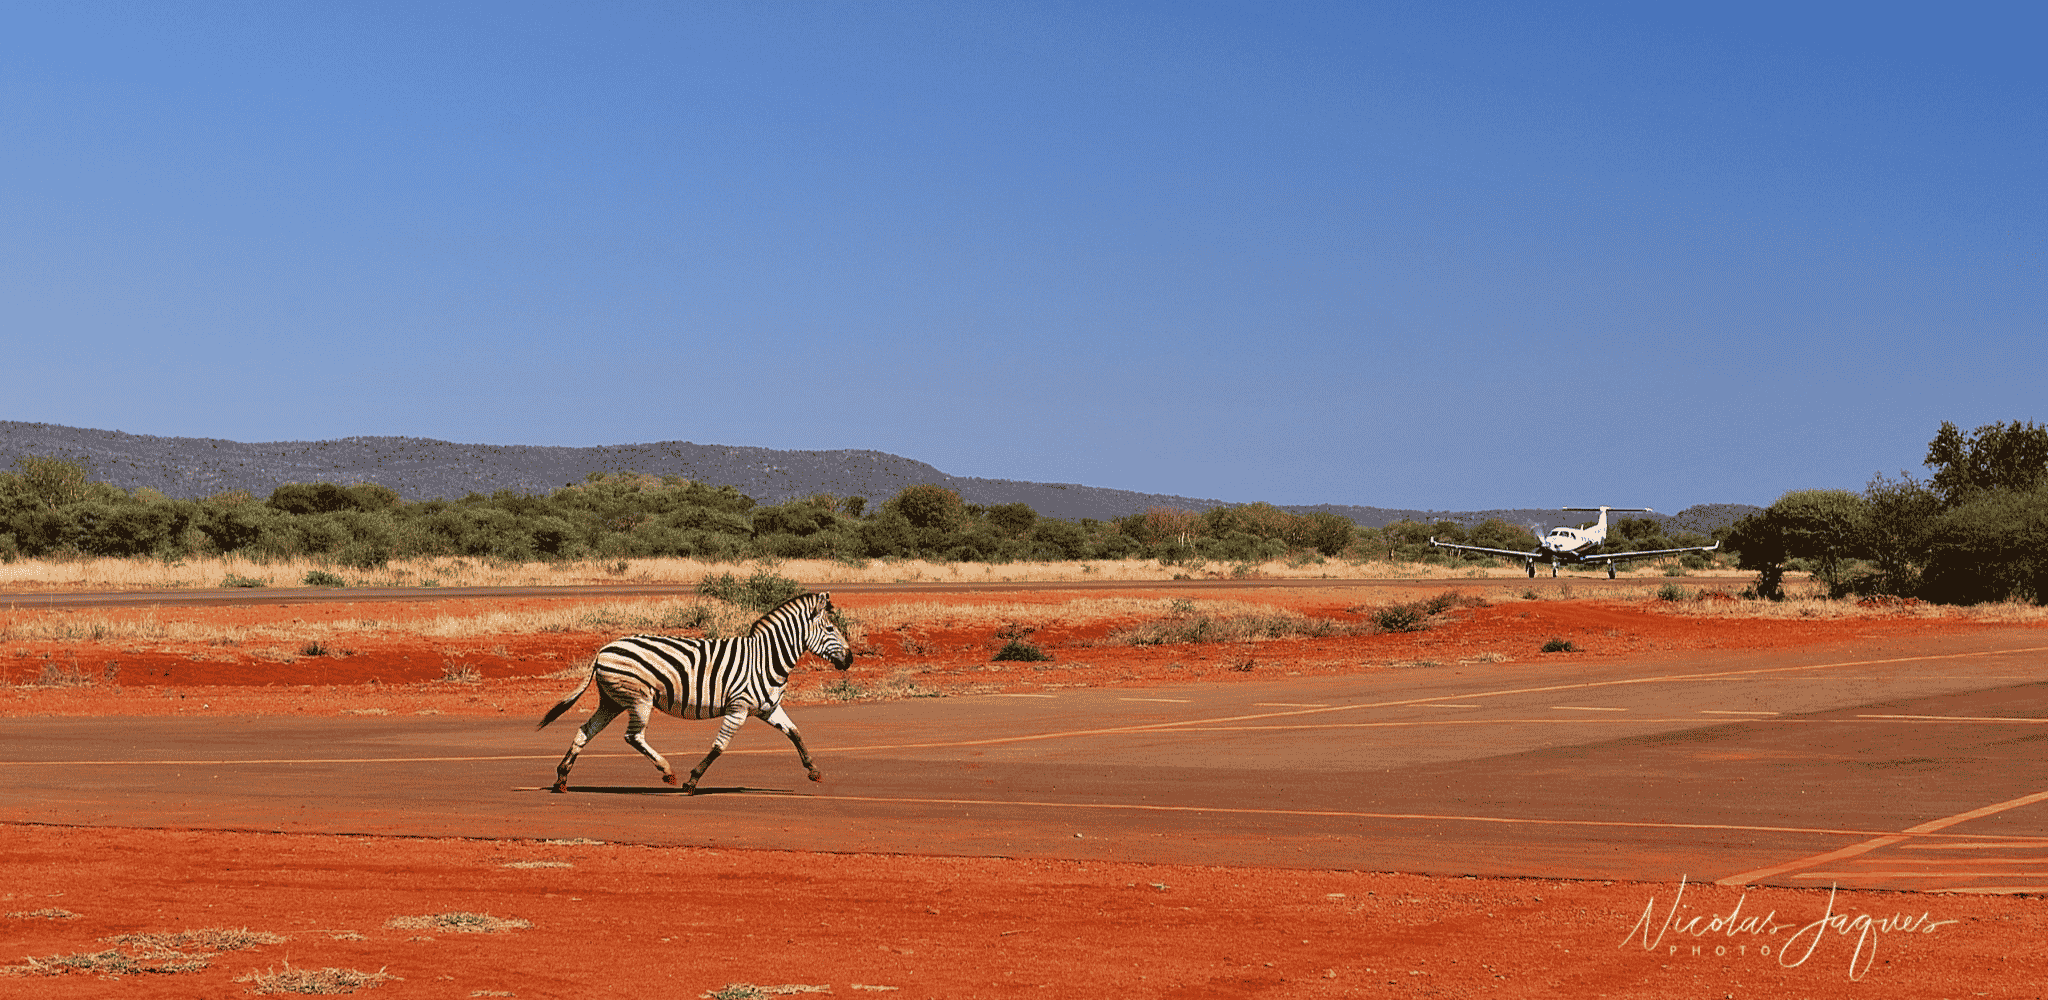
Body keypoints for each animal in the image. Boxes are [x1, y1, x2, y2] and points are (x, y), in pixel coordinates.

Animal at [537, 591, 854, 793]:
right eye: (830, 628)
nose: (850, 659)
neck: (766, 658)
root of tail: (603, 650)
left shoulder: (768, 708)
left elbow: (795, 733)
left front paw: (813, 770)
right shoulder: (739, 708)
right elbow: (719, 746)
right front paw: (693, 781)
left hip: (612, 701)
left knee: (585, 730)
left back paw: (562, 778)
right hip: (639, 698)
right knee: (633, 736)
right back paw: (667, 771)